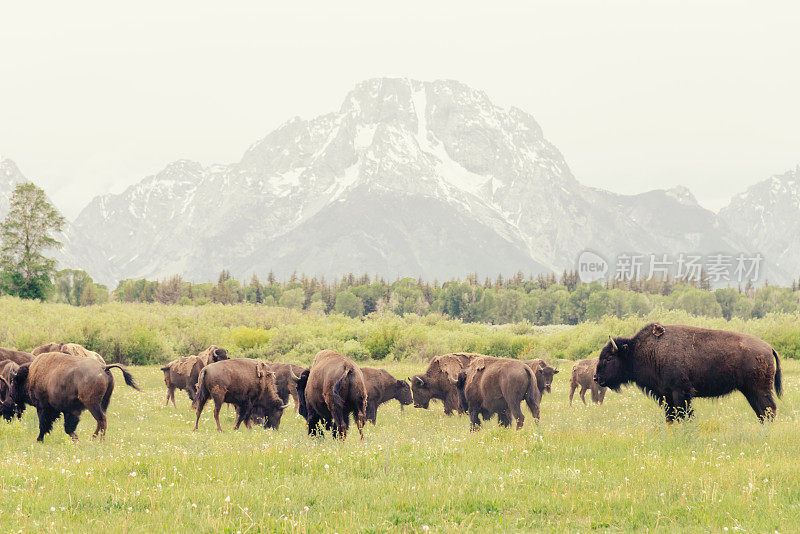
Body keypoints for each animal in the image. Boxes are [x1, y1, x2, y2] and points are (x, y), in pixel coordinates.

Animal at [2, 352, 139, 444]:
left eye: (13, 382)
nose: (11, 395)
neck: (30, 375)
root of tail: (103, 368)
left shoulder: (43, 408)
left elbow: (44, 424)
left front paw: (39, 440)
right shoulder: (69, 410)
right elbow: (68, 427)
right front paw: (76, 439)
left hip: (92, 404)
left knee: (102, 420)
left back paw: (99, 441)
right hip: (104, 403)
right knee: (101, 420)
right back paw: (92, 439)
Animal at [592, 324, 780, 426]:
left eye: (609, 358)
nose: (596, 378)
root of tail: (769, 347)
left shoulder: (680, 392)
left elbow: (683, 415)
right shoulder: (666, 395)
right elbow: (670, 417)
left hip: (759, 390)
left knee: (768, 410)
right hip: (750, 391)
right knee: (763, 412)